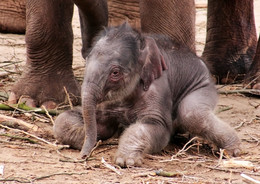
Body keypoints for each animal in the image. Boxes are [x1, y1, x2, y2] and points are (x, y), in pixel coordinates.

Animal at [53, 22, 242, 167]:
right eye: (86, 62)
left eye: (115, 73)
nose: (83, 157)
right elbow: (65, 120)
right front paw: (96, 136)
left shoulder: (158, 88)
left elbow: (158, 127)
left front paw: (126, 161)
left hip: (204, 85)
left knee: (192, 114)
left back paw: (233, 151)